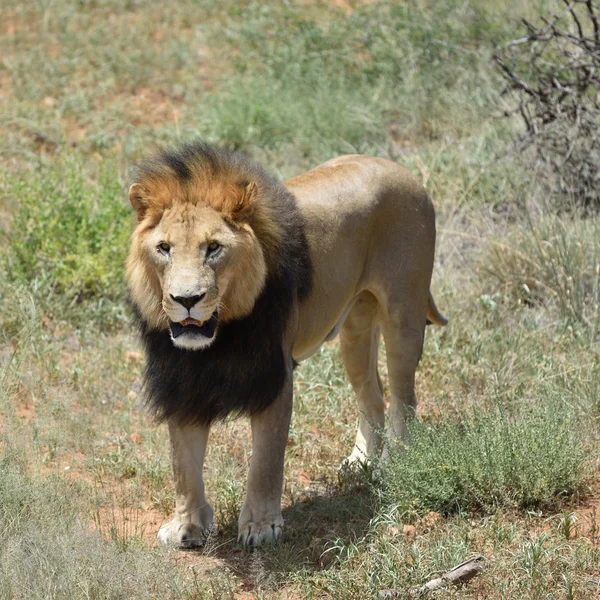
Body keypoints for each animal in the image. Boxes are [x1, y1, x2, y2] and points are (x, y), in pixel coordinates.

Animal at [125, 142, 446, 548]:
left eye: (213, 248)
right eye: (164, 248)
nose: (187, 299)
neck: (217, 338)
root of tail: (406, 173)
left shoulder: (274, 375)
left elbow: (266, 459)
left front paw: (261, 527)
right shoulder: (181, 381)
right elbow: (183, 463)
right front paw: (186, 526)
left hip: (403, 315)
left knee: (404, 397)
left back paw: (393, 464)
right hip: (355, 328)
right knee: (372, 396)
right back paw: (361, 463)